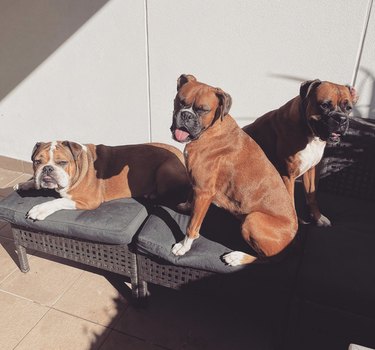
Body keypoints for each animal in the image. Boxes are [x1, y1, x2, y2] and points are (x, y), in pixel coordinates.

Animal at [15, 142, 189, 219]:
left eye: (62, 162)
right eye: (37, 161)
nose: (47, 168)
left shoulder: (87, 200)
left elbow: (58, 201)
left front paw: (39, 209)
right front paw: (26, 184)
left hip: (165, 168)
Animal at [170, 74, 296, 266]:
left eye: (203, 110)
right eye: (180, 101)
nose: (186, 115)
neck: (211, 130)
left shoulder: (204, 191)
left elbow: (192, 225)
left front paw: (183, 247)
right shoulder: (198, 187)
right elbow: (191, 199)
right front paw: (186, 206)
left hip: (252, 219)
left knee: (267, 259)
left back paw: (237, 257)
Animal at [244, 79, 358, 227]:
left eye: (349, 108)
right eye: (325, 105)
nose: (341, 119)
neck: (311, 134)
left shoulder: (311, 171)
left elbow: (311, 196)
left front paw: (318, 217)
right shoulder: (287, 176)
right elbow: (290, 204)